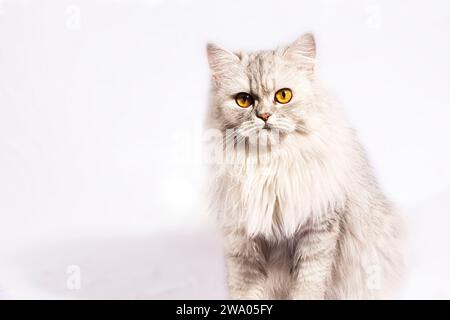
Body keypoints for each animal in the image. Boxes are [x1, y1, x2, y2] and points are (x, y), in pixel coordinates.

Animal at [204, 33, 404, 298]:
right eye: (244, 100)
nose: (264, 116)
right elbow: (245, 289)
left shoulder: (318, 227)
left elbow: (309, 283)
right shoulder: (241, 237)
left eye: (283, 96)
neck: (270, 165)